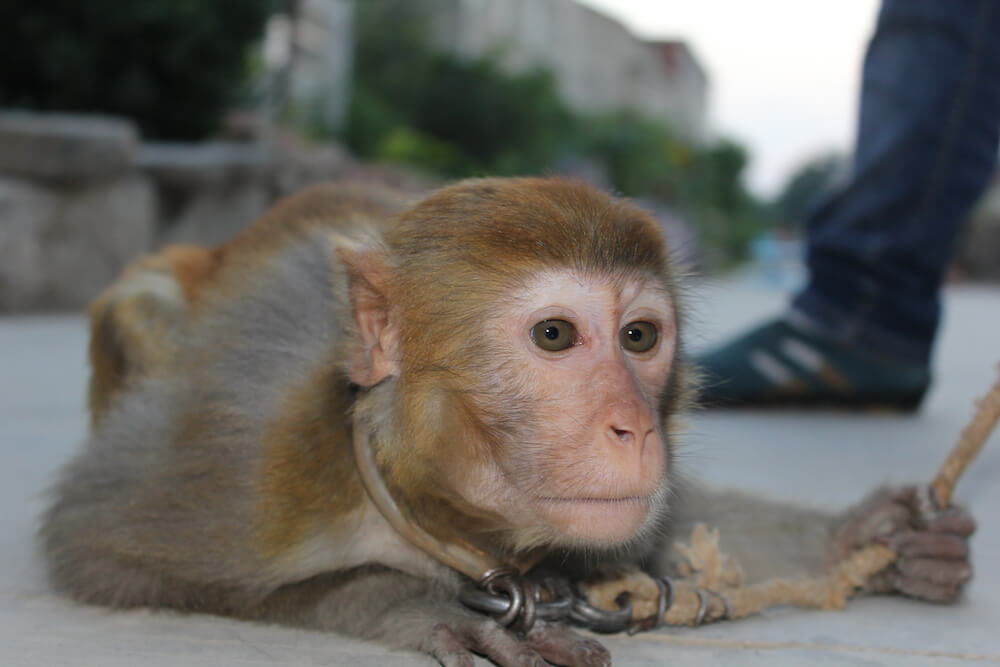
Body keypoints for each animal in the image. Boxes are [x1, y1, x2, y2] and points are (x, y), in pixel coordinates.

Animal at [43, 179, 972, 667]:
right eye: (555, 335)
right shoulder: (253, 468)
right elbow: (95, 543)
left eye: (640, 337)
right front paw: (414, 606)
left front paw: (871, 536)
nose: (634, 427)